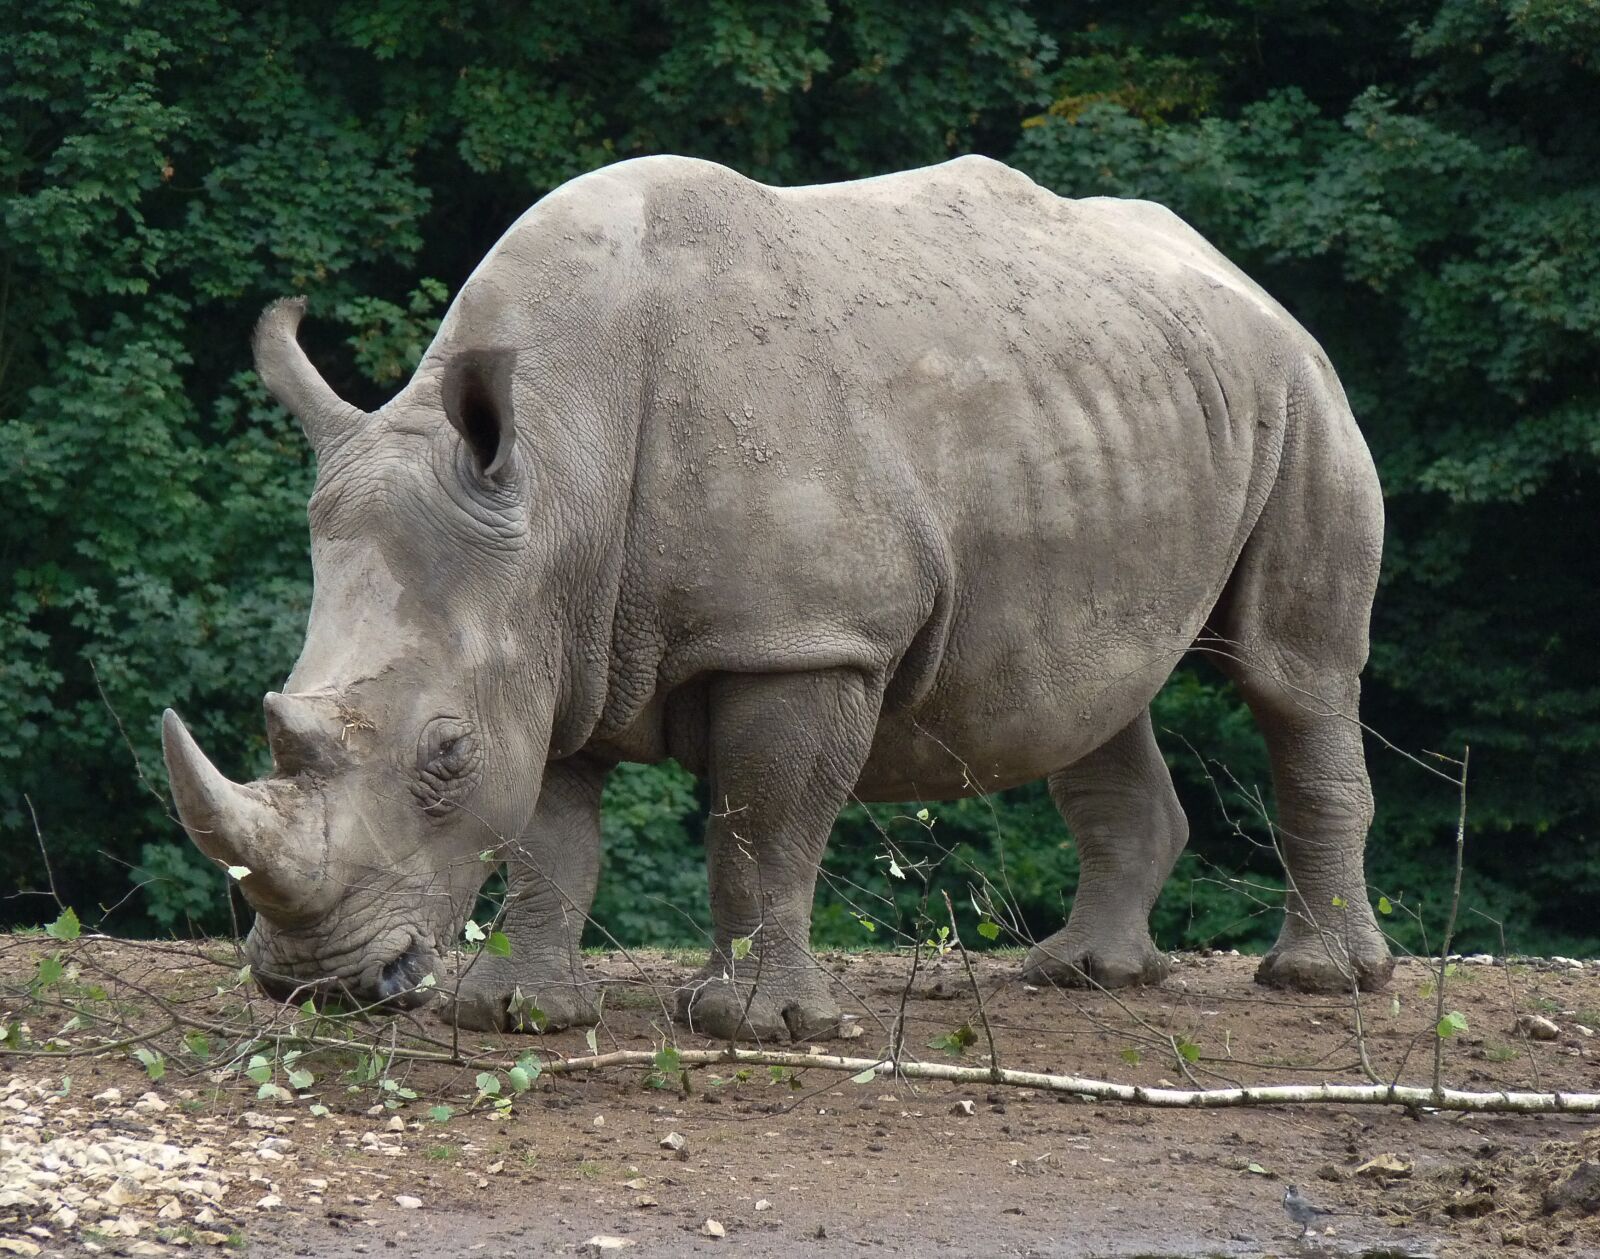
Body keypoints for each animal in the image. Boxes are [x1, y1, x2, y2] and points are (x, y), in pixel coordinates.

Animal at [161, 154, 1393, 1041]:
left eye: (444, 754)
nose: (315, 983)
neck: (557, 481)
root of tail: (1239, 272)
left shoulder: (803, 637)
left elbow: (763, 825)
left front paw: (757, 1026)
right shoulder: (552, 636)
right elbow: (551, 831)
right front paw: (516, 1013)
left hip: (1302, 389)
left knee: (1291, 677)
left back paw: (1318, 981)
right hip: (1130, 396)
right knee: (1085, 687)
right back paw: (1083, 975)